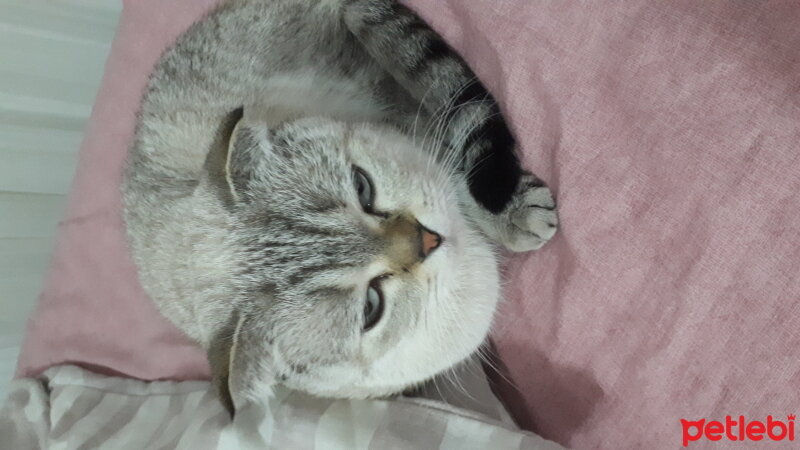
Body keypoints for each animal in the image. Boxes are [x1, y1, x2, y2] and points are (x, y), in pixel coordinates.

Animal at [122, 0, 556, 414]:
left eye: (362, 188)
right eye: (371, 307)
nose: (428, 240)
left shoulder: (410, 129)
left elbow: (459, 159)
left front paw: (511, 214)